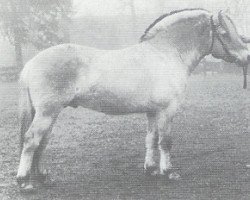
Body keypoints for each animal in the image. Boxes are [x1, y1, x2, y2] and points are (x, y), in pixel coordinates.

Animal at [16, 8, 249, 191]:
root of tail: (31, 63)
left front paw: (151, 169)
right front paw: (168, 172)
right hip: (47, 112)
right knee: (31, 140)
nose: (246, 56)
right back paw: (24, 181)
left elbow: (151, 139)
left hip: (50, 113)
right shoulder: (168, 110)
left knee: (43, 142)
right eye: (224, 32)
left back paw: (44, 177)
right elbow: (166, 141)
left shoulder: (153, 111)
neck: (167, 53)